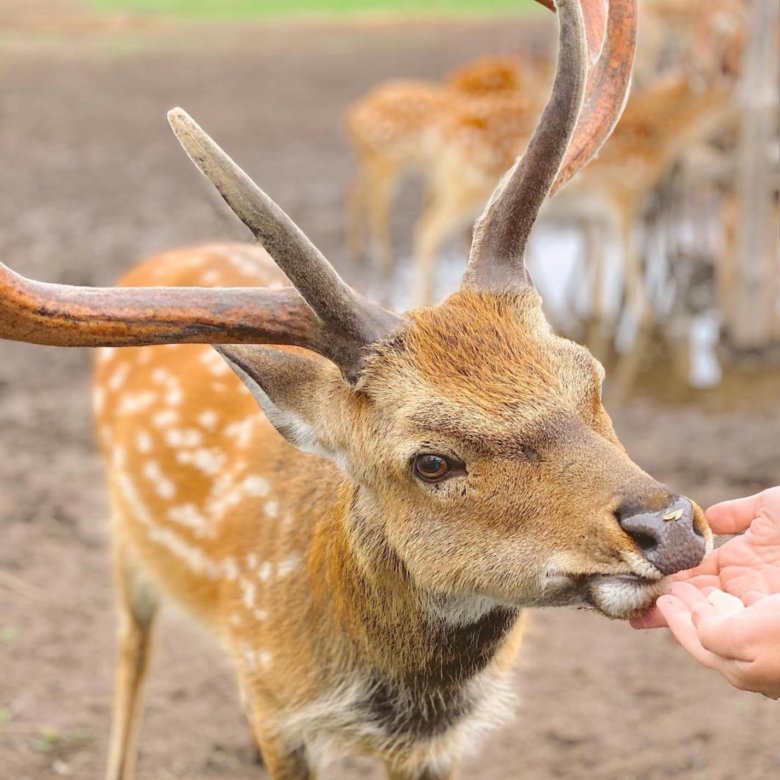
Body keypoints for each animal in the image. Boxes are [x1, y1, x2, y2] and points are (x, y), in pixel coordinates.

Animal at [0, 1, 712, 780]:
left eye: (592, 375)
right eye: (431, 461)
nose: (672, 526)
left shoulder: (430, 744)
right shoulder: (280, 707)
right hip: (127, 541)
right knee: (132, 650)